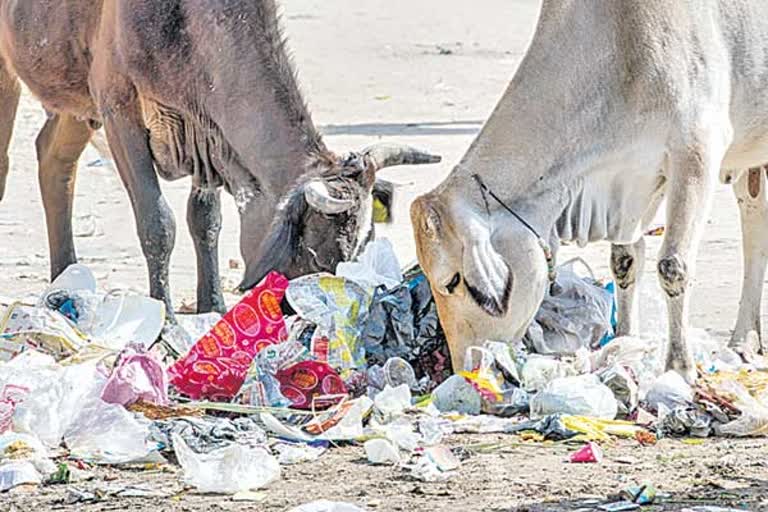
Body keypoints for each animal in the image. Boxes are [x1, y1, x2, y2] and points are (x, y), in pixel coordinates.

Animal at [0, 0, 438, 316]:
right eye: (315, 252)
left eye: (359, 250)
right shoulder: (117, 107)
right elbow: (158, 223)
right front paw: (165, 316)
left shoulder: (205, 136)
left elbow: (205, 221)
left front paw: (212, 304)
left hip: (72, 97)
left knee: (52, 157)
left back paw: (64, 277)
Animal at [414, 0, 768, 382]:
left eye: (451, 281)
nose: (464, 368)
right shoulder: (634, 177)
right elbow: (625, 261)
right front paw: (625, 344)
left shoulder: (697, 149)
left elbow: (673, 265)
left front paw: (678, 368)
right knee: (754, 216)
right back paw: (745, 341)